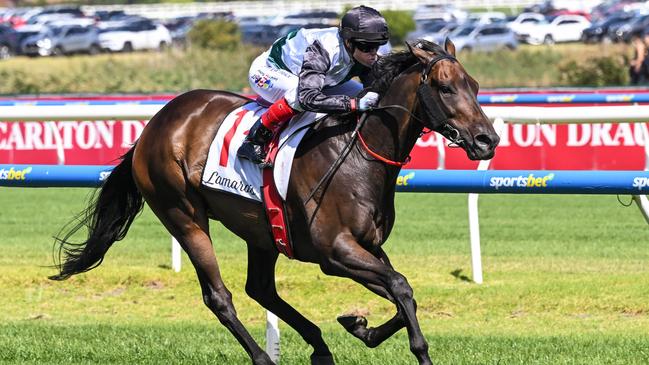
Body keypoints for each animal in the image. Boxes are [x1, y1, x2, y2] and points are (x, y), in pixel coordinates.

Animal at [49, 38, 496, 362]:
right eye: (444, 87)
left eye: (474, 86)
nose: (487, 140)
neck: (357, 153)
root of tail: (155, 124)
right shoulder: (336, 252)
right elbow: (401, 287)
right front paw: (412, 348)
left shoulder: (367, 247)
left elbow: (404, 294)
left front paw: (359, 326)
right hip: (182, 214)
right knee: (220, 297)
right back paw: (265, 356)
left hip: (261, 230)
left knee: (260, 289)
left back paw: (319, 345)